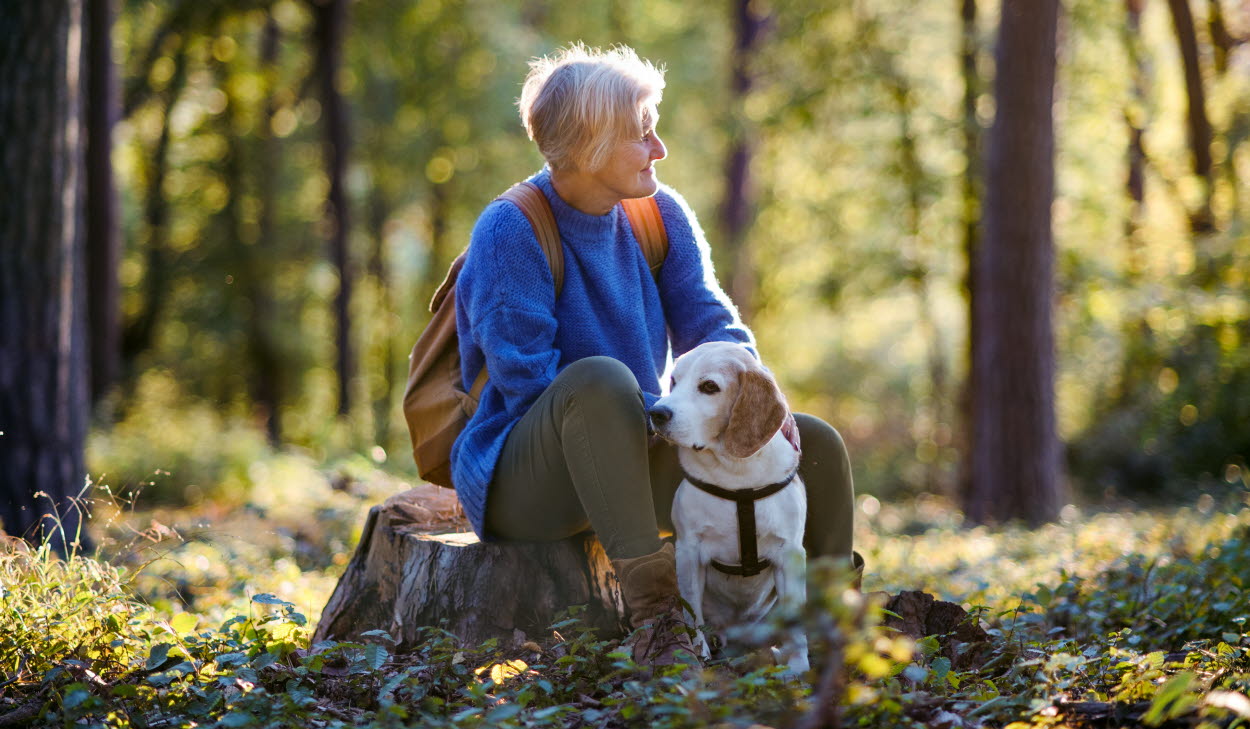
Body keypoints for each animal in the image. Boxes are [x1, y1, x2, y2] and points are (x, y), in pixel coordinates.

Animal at [645, 340, 810, 675]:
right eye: (674, 381)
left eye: (709, 387)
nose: (656, 413)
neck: (737, 476)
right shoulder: (689, 552)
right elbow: (692, 613)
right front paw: (699, 653)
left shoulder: (790, 554)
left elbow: (796, 622)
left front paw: (799, 667)